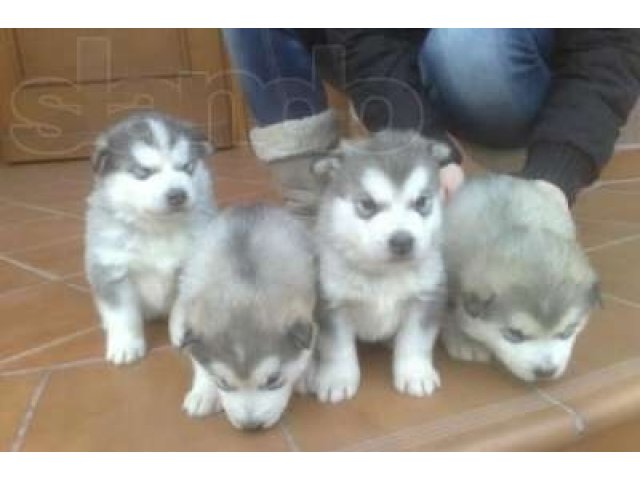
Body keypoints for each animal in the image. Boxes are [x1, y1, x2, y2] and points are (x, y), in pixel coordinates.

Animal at [85, 110, 216, 366]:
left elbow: (180, 307)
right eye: (143, 172)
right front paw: (126, 345)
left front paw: (182, 332)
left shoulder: (191, 269)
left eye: (187, 167)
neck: (158, 229)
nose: (178, 195)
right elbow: (123, 314)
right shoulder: (112, 269)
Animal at [170, 204, 318, 430]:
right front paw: (204, 393)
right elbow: (200, 363)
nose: (251, 426)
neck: (242, 287)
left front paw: (305, 374)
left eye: (273, 380)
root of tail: (250, 205)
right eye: (223, 382)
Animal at [308, 130, 450, 402]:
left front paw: (415, 373)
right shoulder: (332, 303)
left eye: (421, 202)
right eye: (367, 205)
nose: (402, 241)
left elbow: (415, 341)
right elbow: (337, 347)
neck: (384, 275)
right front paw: (337, 378)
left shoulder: (426, 297)